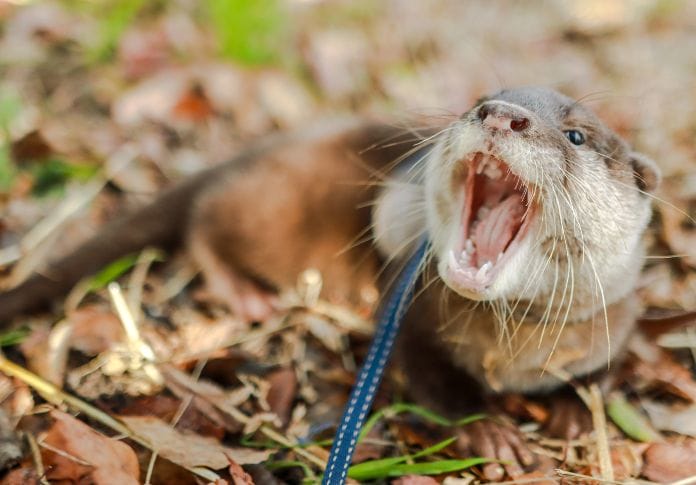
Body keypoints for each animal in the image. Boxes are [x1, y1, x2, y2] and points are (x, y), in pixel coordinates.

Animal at [0, 87, 660, 478]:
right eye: (480, 98)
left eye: (576, 136)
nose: (499, 113)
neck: (512, 353)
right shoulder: (409, 317)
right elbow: (432, 383)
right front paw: (491, 432)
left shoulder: (616, 321)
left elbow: (607, 372)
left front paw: (576, 413)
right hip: (268, 210)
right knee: (204, 217)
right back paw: (246, 293)